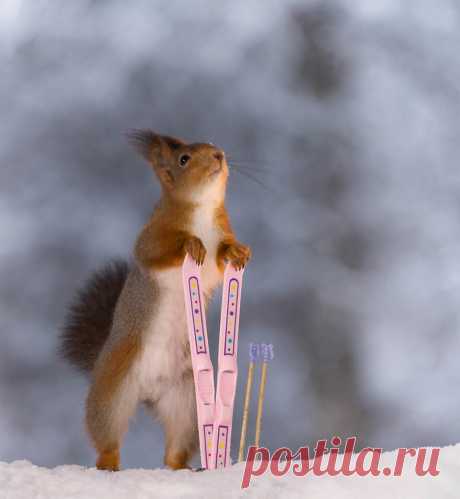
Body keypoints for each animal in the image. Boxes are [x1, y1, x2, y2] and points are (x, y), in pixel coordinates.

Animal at [60, 130, 250, 472]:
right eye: (183, 159)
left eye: (213, 146)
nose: (219, 155)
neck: (202, 209)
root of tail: (149, 391)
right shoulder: (152, 236)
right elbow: (158, 251)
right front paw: (190, 244)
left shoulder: (219, 238)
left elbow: (221, 258)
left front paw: (238, 250)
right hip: (113, 391)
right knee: (106, 436)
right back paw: (109, 463)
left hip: (186, 402)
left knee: (175, 447)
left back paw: (183, 467)